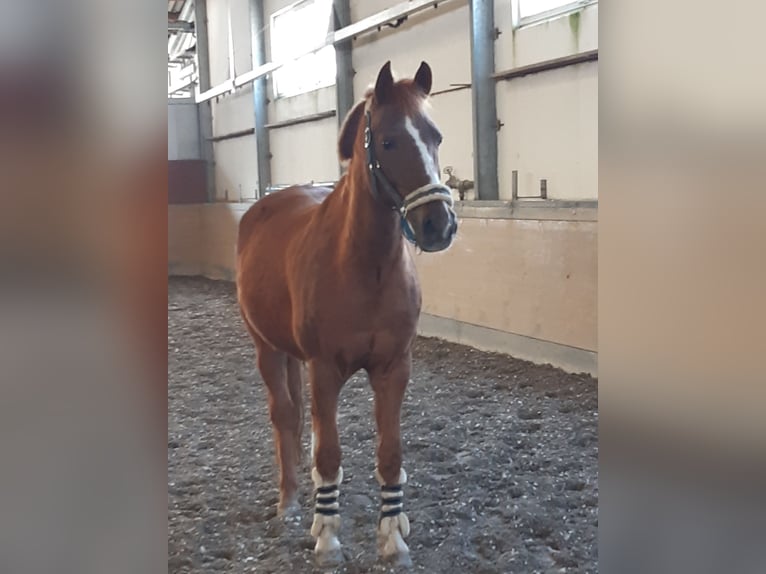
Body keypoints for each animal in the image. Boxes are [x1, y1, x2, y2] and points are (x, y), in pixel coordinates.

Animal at [237, 59, 460, 568]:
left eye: (435, 136)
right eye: (389, 141)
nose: (439, 225)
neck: (364, 265)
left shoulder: (394, 368)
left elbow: (390, 455)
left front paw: (393, 540)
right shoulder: (324, 369)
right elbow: (329, 455)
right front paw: (328, 539)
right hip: (267, 349)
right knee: (285, 417)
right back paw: (290, 503)